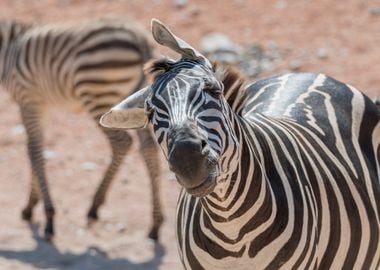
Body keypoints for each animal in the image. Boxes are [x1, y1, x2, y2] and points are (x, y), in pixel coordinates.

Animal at [0, 17, 163, 239]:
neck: (7, 50)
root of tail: (140, 38)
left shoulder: (28, 101)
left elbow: (33, 151)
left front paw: (48, 215)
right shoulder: (41, 106)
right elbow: (37, 148)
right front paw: (31, 206)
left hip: (98, 95)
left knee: (122, 142)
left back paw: (94, 206)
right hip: (133, 97)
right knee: (148, 147)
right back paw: (155, 224)